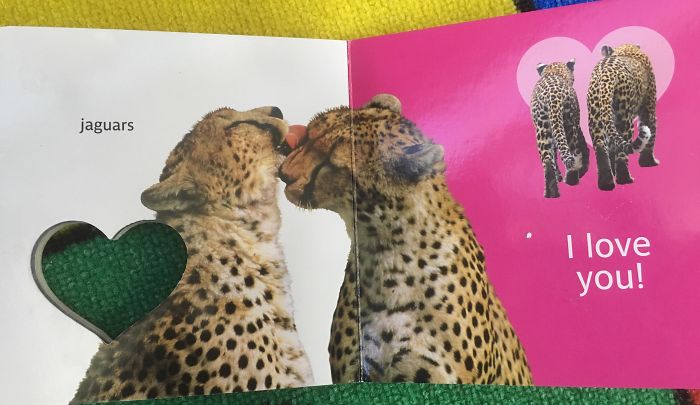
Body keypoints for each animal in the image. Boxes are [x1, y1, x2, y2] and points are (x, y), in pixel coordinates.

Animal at [530, 59, 590, 198]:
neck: (554, 72)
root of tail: (553, 97)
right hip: (567, 126)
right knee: (573, 154)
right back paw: (571, 180)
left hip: (544, 129)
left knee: (548, 160)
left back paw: (552, 193)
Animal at [587, 43, 657, 191]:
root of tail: (606, 75)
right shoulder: (649, 110)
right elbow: (651, 135)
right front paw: (648, 162)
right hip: (624, 119)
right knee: (622, 152)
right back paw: (625, 179)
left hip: (596, 118)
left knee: (601, 148)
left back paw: (606, 183)